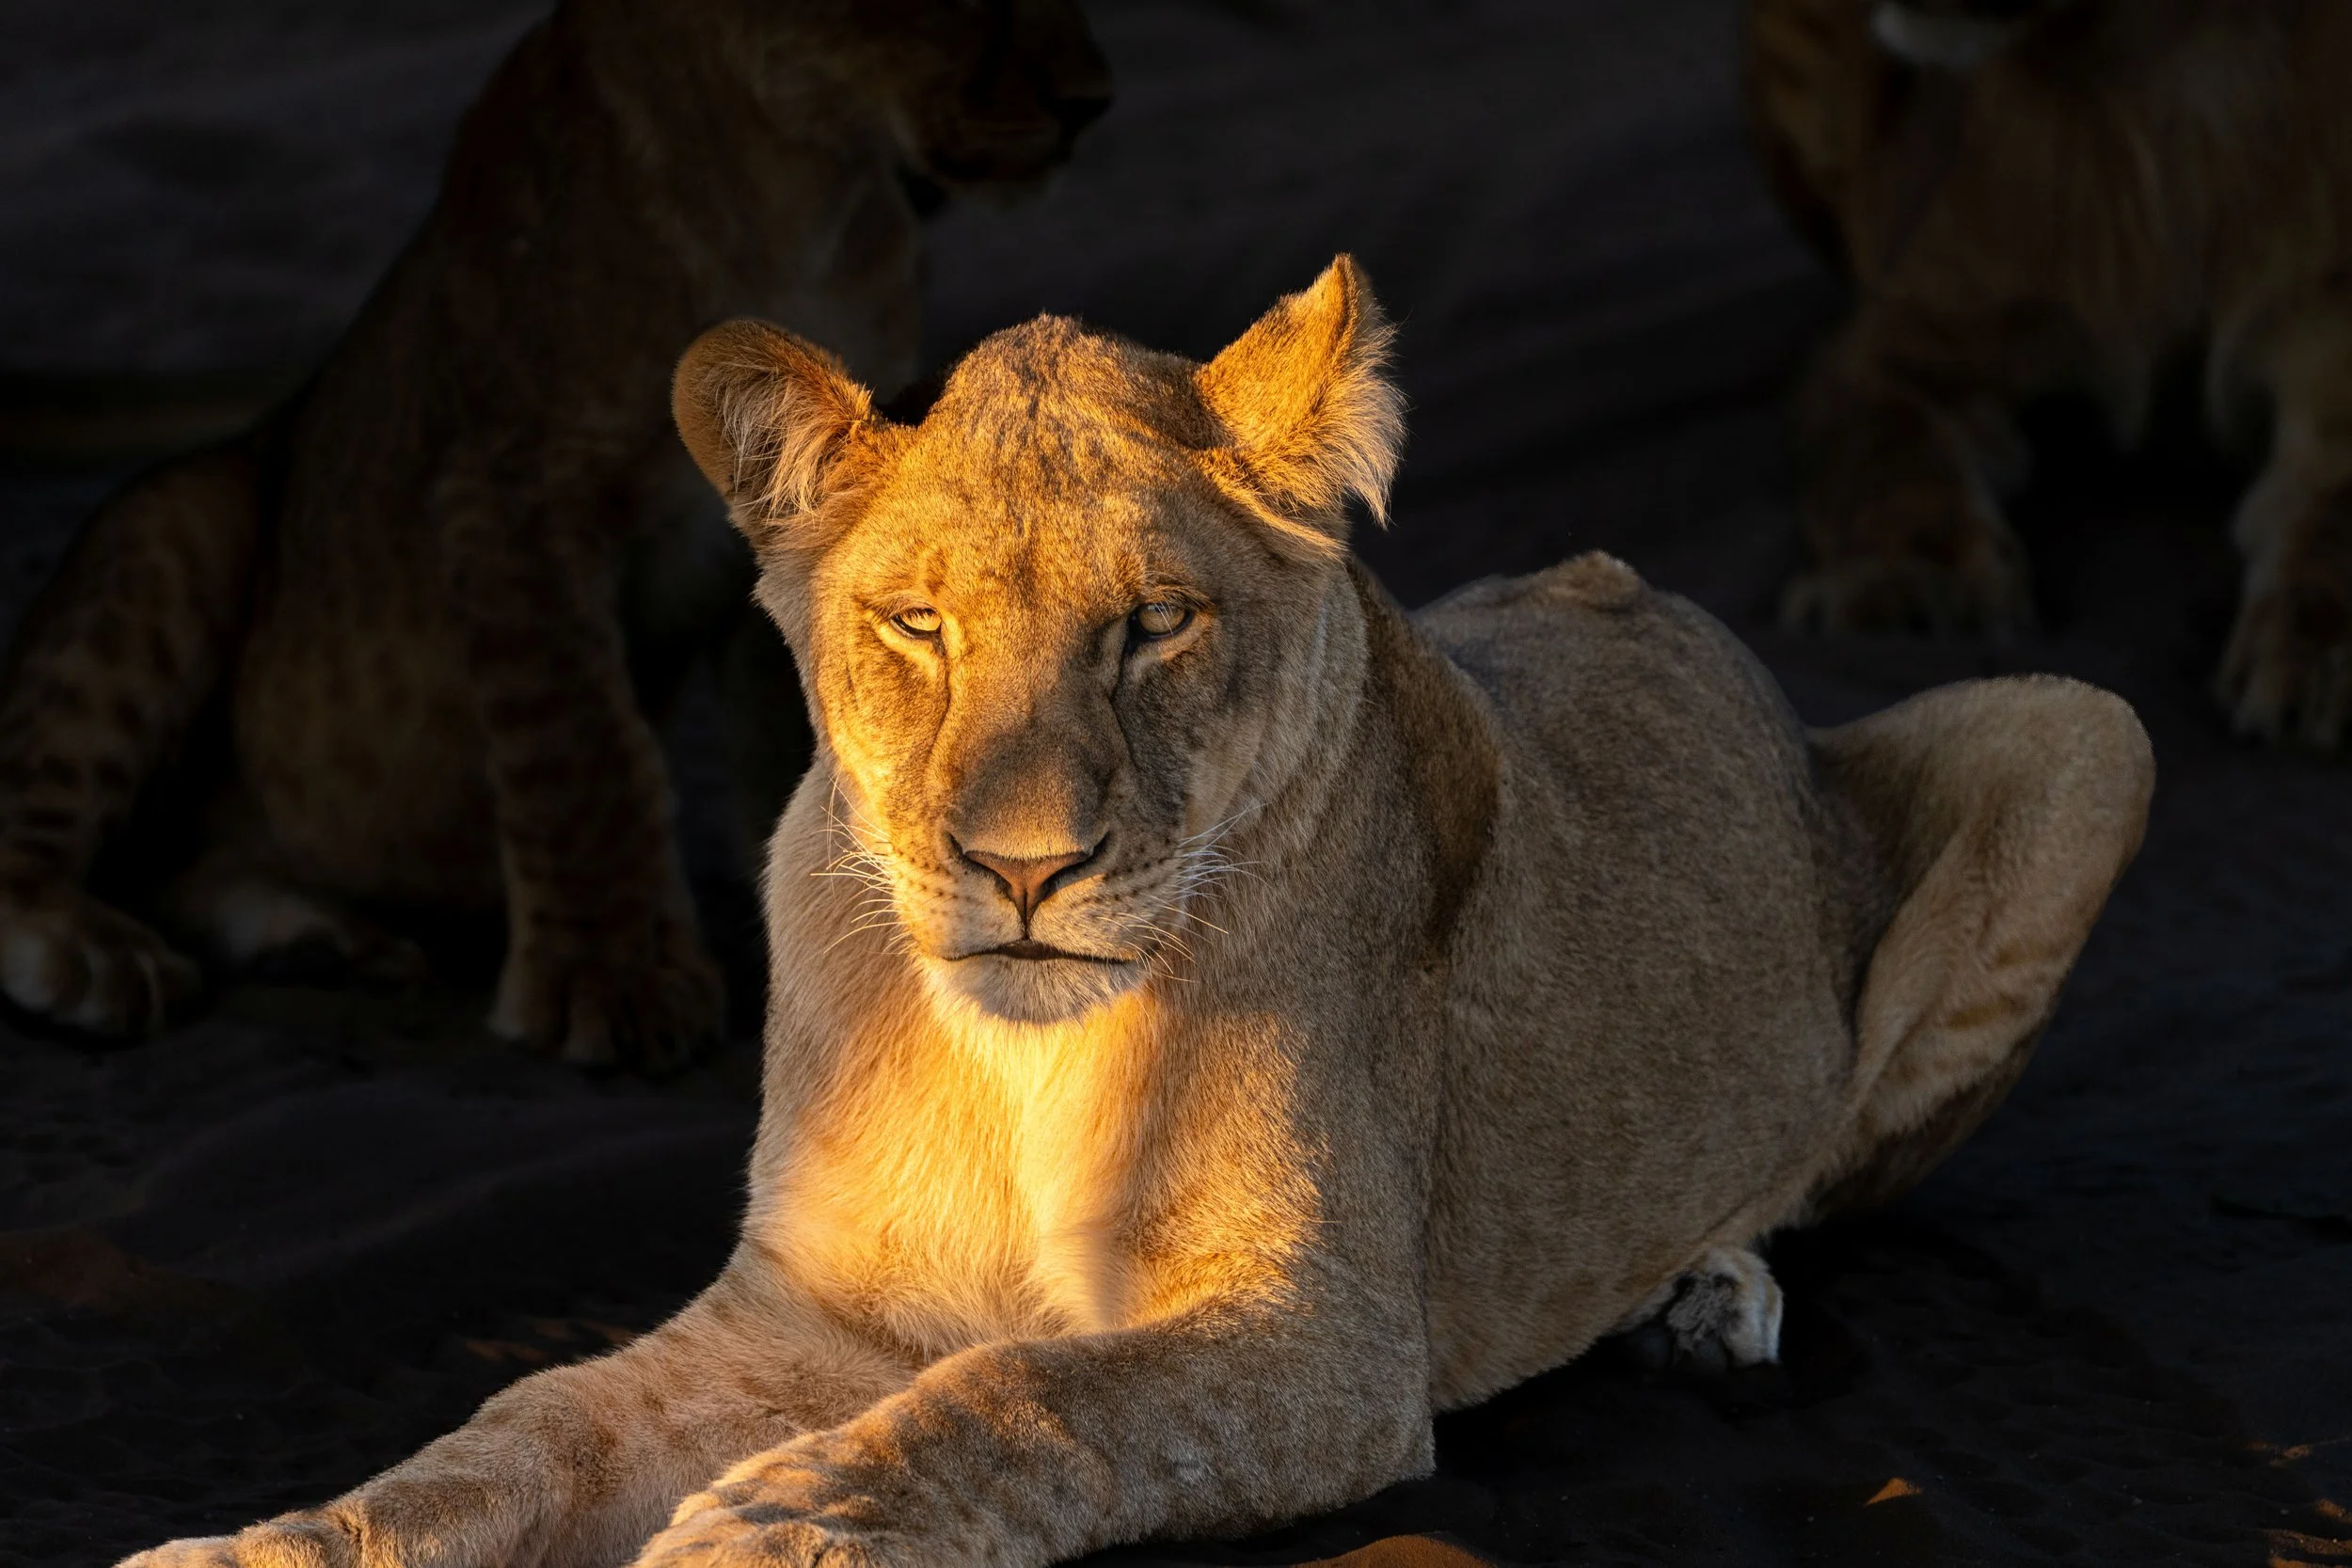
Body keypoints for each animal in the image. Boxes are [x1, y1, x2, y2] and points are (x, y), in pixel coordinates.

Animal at [0, 0, 1110, 1068]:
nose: (1089, 104)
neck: (798, 180)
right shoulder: (511, 486)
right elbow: (582, 745)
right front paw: (612, 984)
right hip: (176, 526)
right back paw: (100, 953)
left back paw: (319, 942)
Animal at [117, 258, 2152, 1568]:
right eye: (918, 623)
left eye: (1151, 623)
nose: (1024, 868)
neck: (1002, 1057)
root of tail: (1674, 600)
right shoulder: (805, 1309)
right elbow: (528, 1421)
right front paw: (272, 1539)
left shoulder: (1324, 1342)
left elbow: (1025, 1388)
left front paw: (788, 1515)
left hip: (2089, 732)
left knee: (1819, 1164)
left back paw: (1709, 1289)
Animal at [1746, 0, 2352, 746]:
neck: (2156, 74)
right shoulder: (1889, 349)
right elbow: (1888, 464)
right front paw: (1906, 585)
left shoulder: (2329, 347)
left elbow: (2335, 516)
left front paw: (2324, 658)